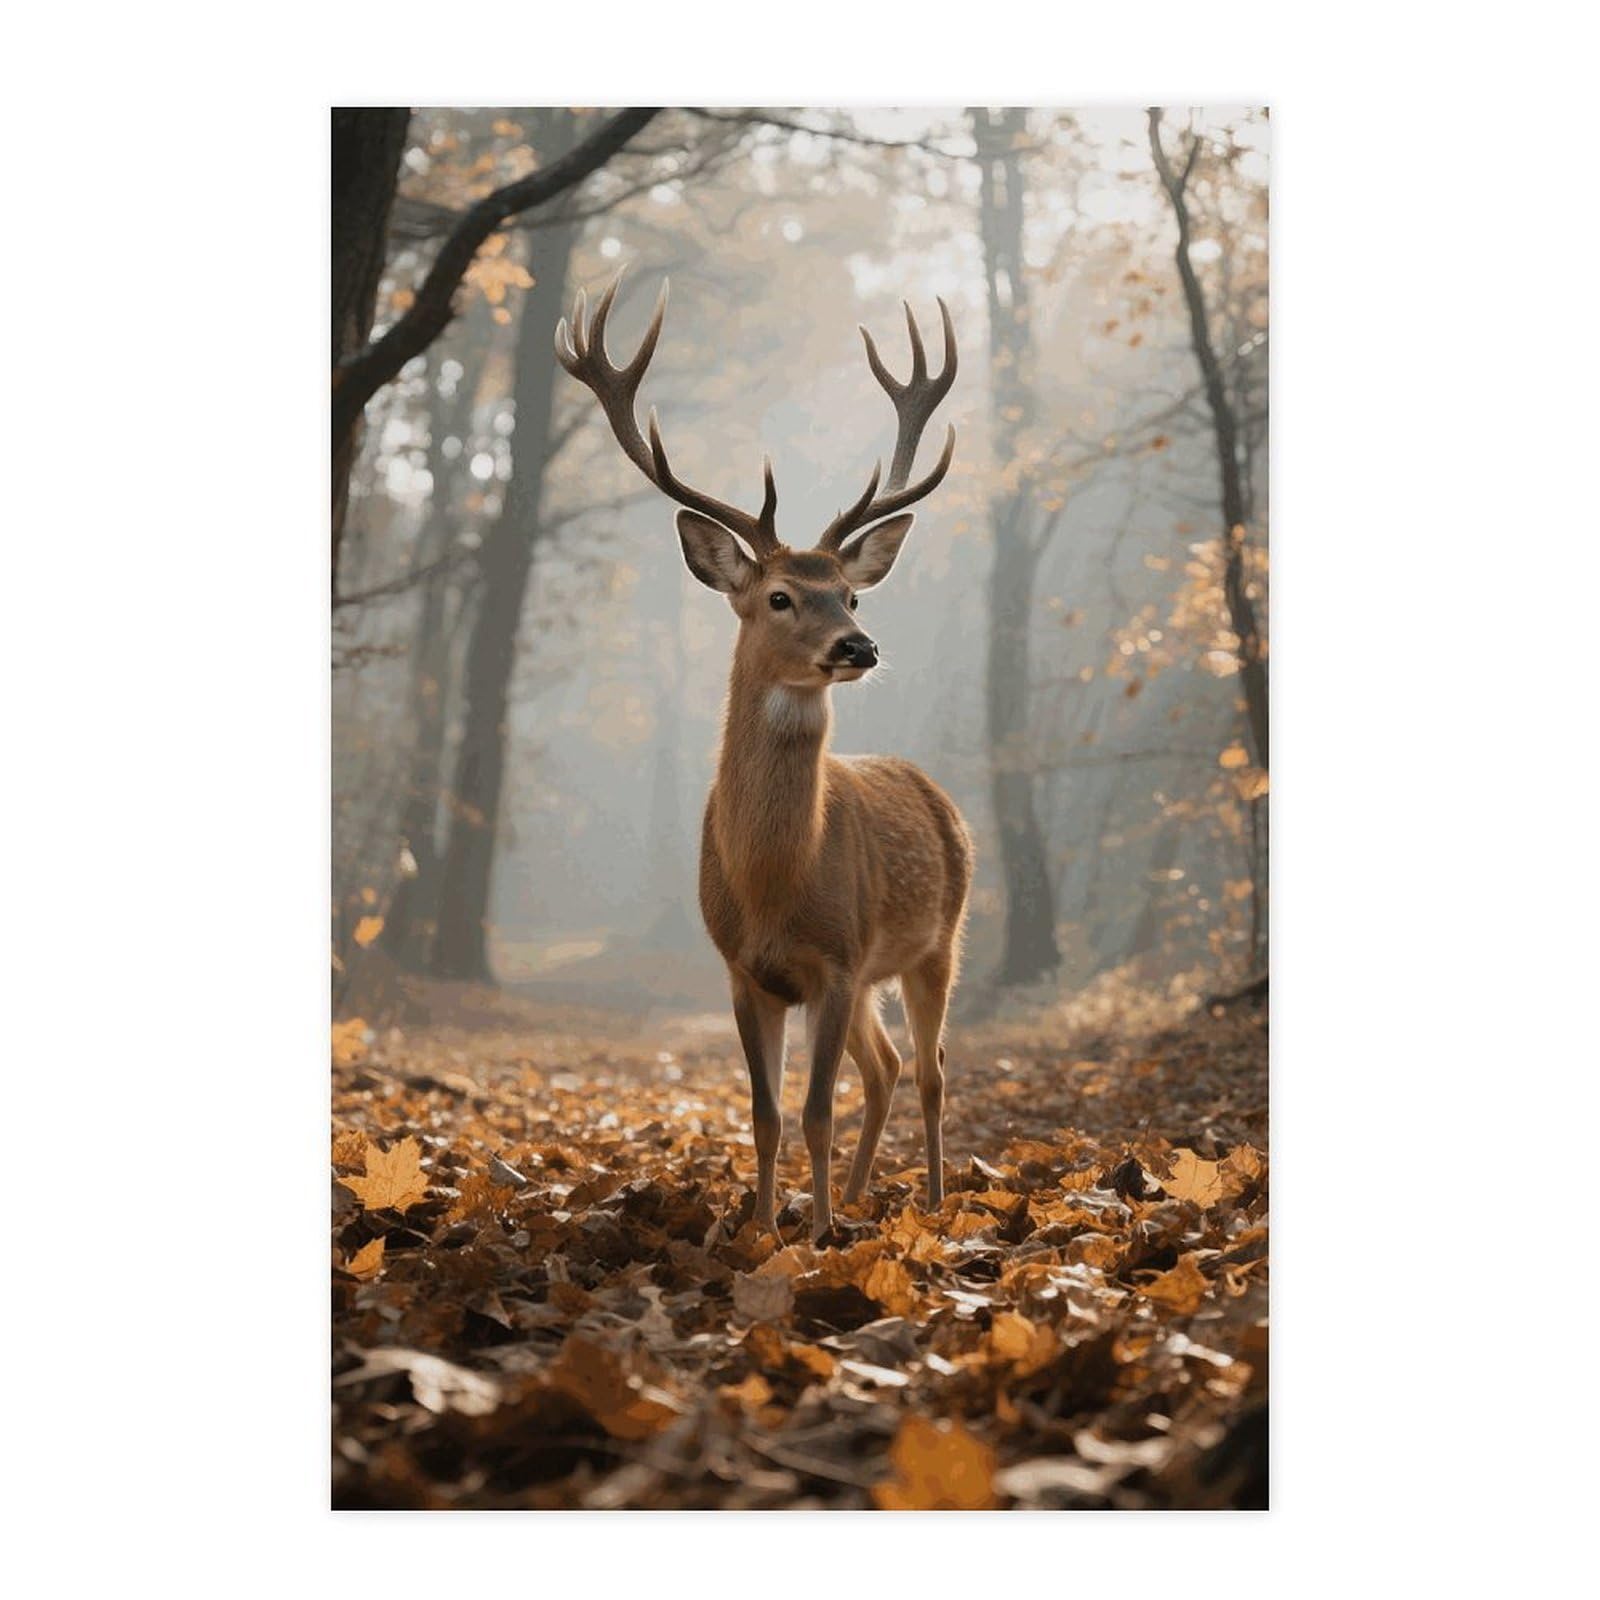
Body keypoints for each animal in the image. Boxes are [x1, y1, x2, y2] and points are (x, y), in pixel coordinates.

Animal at [556, 273, 973, 1242]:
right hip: (872, 979)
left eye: (852, 593)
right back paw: (859, 1199)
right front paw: (763, 1230)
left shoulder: (840, 958)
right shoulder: (746, 969)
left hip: (940, 938)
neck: (776, 882)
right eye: (780, 596)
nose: (858, 646)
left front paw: (814, 1239)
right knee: (887, 1065)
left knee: (932, 1070)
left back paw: (931, 1205)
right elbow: (766, 1113)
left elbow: (816, 1110)